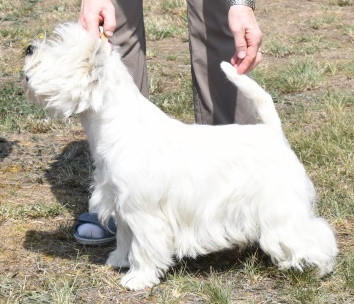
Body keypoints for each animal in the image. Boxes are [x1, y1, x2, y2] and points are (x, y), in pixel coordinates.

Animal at [23, 23, 338, 290]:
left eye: (58, 50)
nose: (28, 48)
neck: (117, 126)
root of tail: (273, 132)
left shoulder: (144, 213)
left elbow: (144, 246)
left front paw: (138, 278)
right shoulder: (121, 205)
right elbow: (125, 237)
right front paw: (119, 260)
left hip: (280, 208)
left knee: (314, 234)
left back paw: (318, 268)